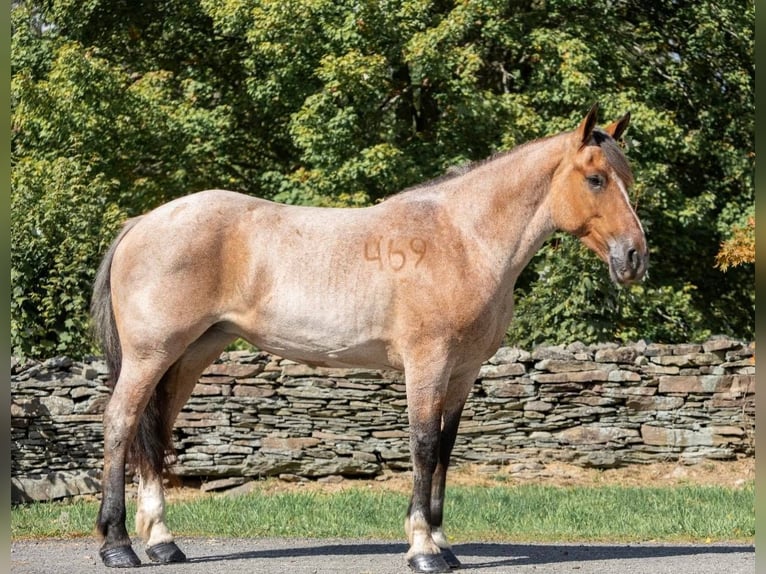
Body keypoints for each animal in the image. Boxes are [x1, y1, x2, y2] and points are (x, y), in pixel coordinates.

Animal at [93, 106, 652, 572]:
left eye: (628, 179)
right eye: (596, 179)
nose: (634, 258)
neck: (463, 240)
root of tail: (143, 222)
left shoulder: (463, 372)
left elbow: (445, 448)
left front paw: (443, 544)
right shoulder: (427, 363)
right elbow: (423, 444)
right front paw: (423, 549)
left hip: (190, 356)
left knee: (154, 431)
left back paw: (163, 542)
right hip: (151, 355)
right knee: (121, 423)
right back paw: (118, 545)